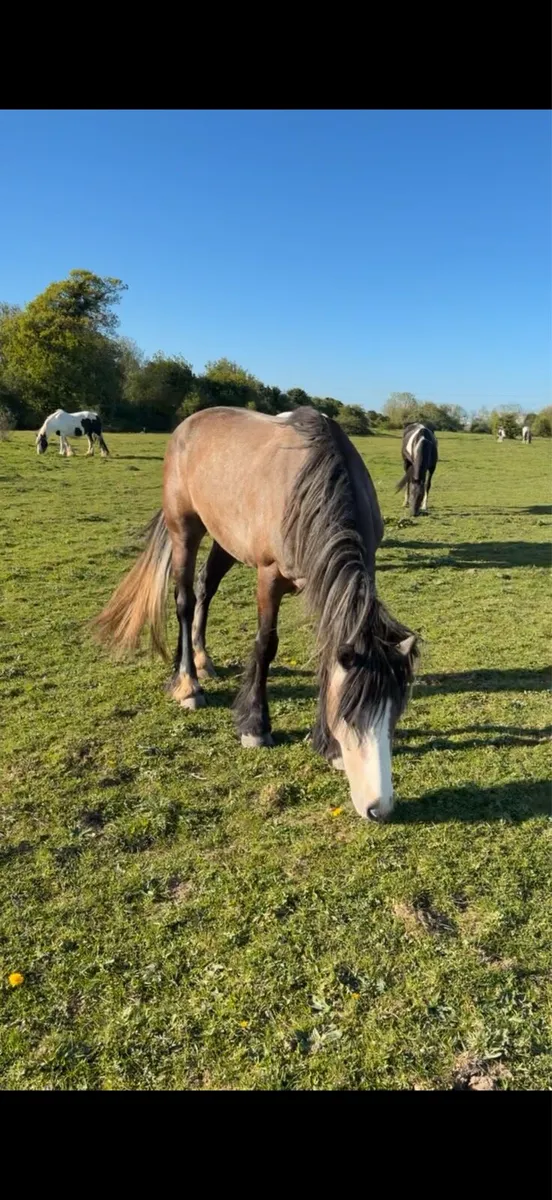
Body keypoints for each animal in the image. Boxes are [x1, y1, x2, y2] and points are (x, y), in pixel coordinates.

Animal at [92, 407, 419, 822]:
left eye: (394, 715)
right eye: (348, 714)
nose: (380, 808)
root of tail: (187, 425)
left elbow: (326, 652)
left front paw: (326, 745)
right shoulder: (269, 576)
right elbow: (266, 645)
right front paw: (255, 727)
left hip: (225, 538)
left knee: (205, 588)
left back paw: (200, 660)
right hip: (184, 530)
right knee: (184, 600)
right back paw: (188, 684)